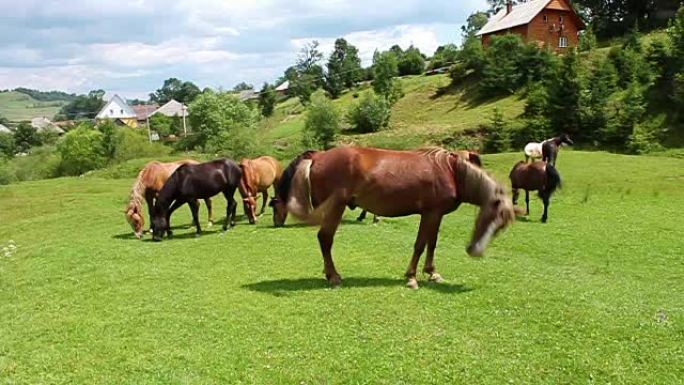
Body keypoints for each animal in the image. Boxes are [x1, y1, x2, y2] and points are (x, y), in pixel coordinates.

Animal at [270, 147, 516, 288]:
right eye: (496, 220)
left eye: (502, 227)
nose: (475, 250)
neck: (452, 171)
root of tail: (318, 155)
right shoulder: (431, 213)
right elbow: (420, 244)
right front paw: (412, 277)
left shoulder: (435, 215)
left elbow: (432, 244)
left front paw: (432, 273)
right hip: (335, 208)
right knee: (325, 238)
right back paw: (333, 276)